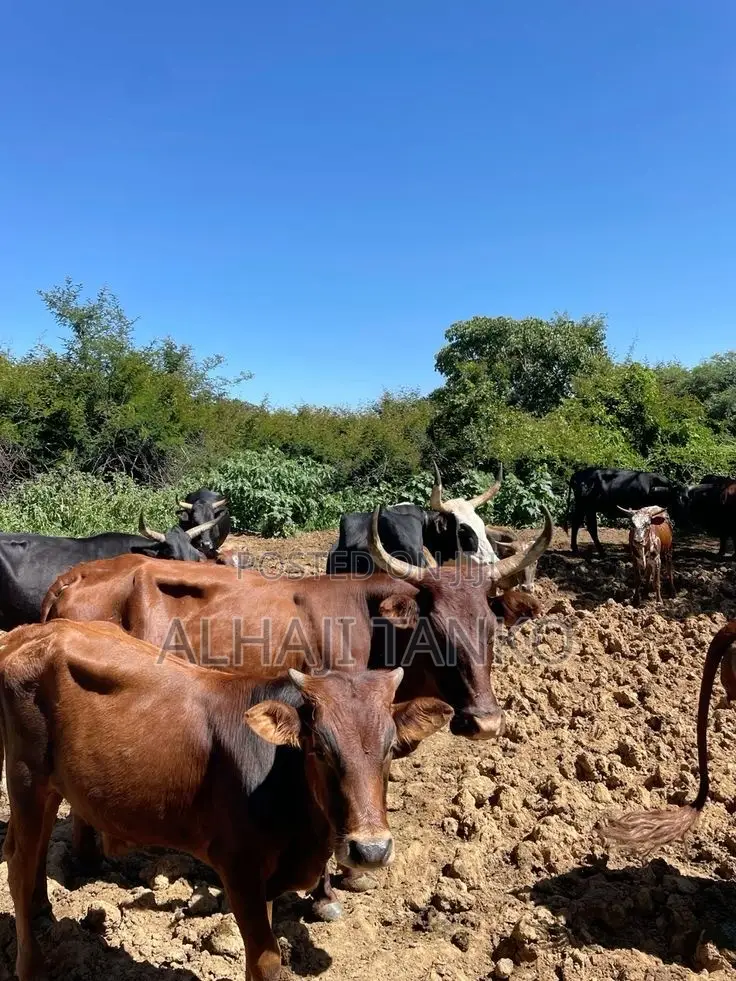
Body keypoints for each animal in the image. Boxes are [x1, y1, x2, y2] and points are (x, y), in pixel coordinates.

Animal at [0, 619, 451, 981]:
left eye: (390, 748)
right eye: (320, 750)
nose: (370, 850)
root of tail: (29, 633)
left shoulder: (268, 878)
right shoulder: (239, 866)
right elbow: (266, 960)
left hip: (50, 786)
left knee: (30, 850)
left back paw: (42, 913)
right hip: (25, 776)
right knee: (19, 865)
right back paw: (32, 966)